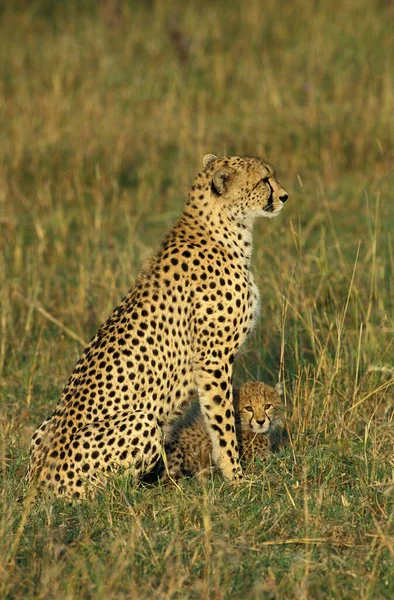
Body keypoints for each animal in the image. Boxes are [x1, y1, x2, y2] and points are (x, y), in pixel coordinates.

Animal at [26, 154, 288, 496]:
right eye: (264, 180)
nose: (284, 196)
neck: (224, 228)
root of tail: (37, 482)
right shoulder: (213, 359)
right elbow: (223, 422)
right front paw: (237, 477)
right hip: (144, 423)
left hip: (42, 429)